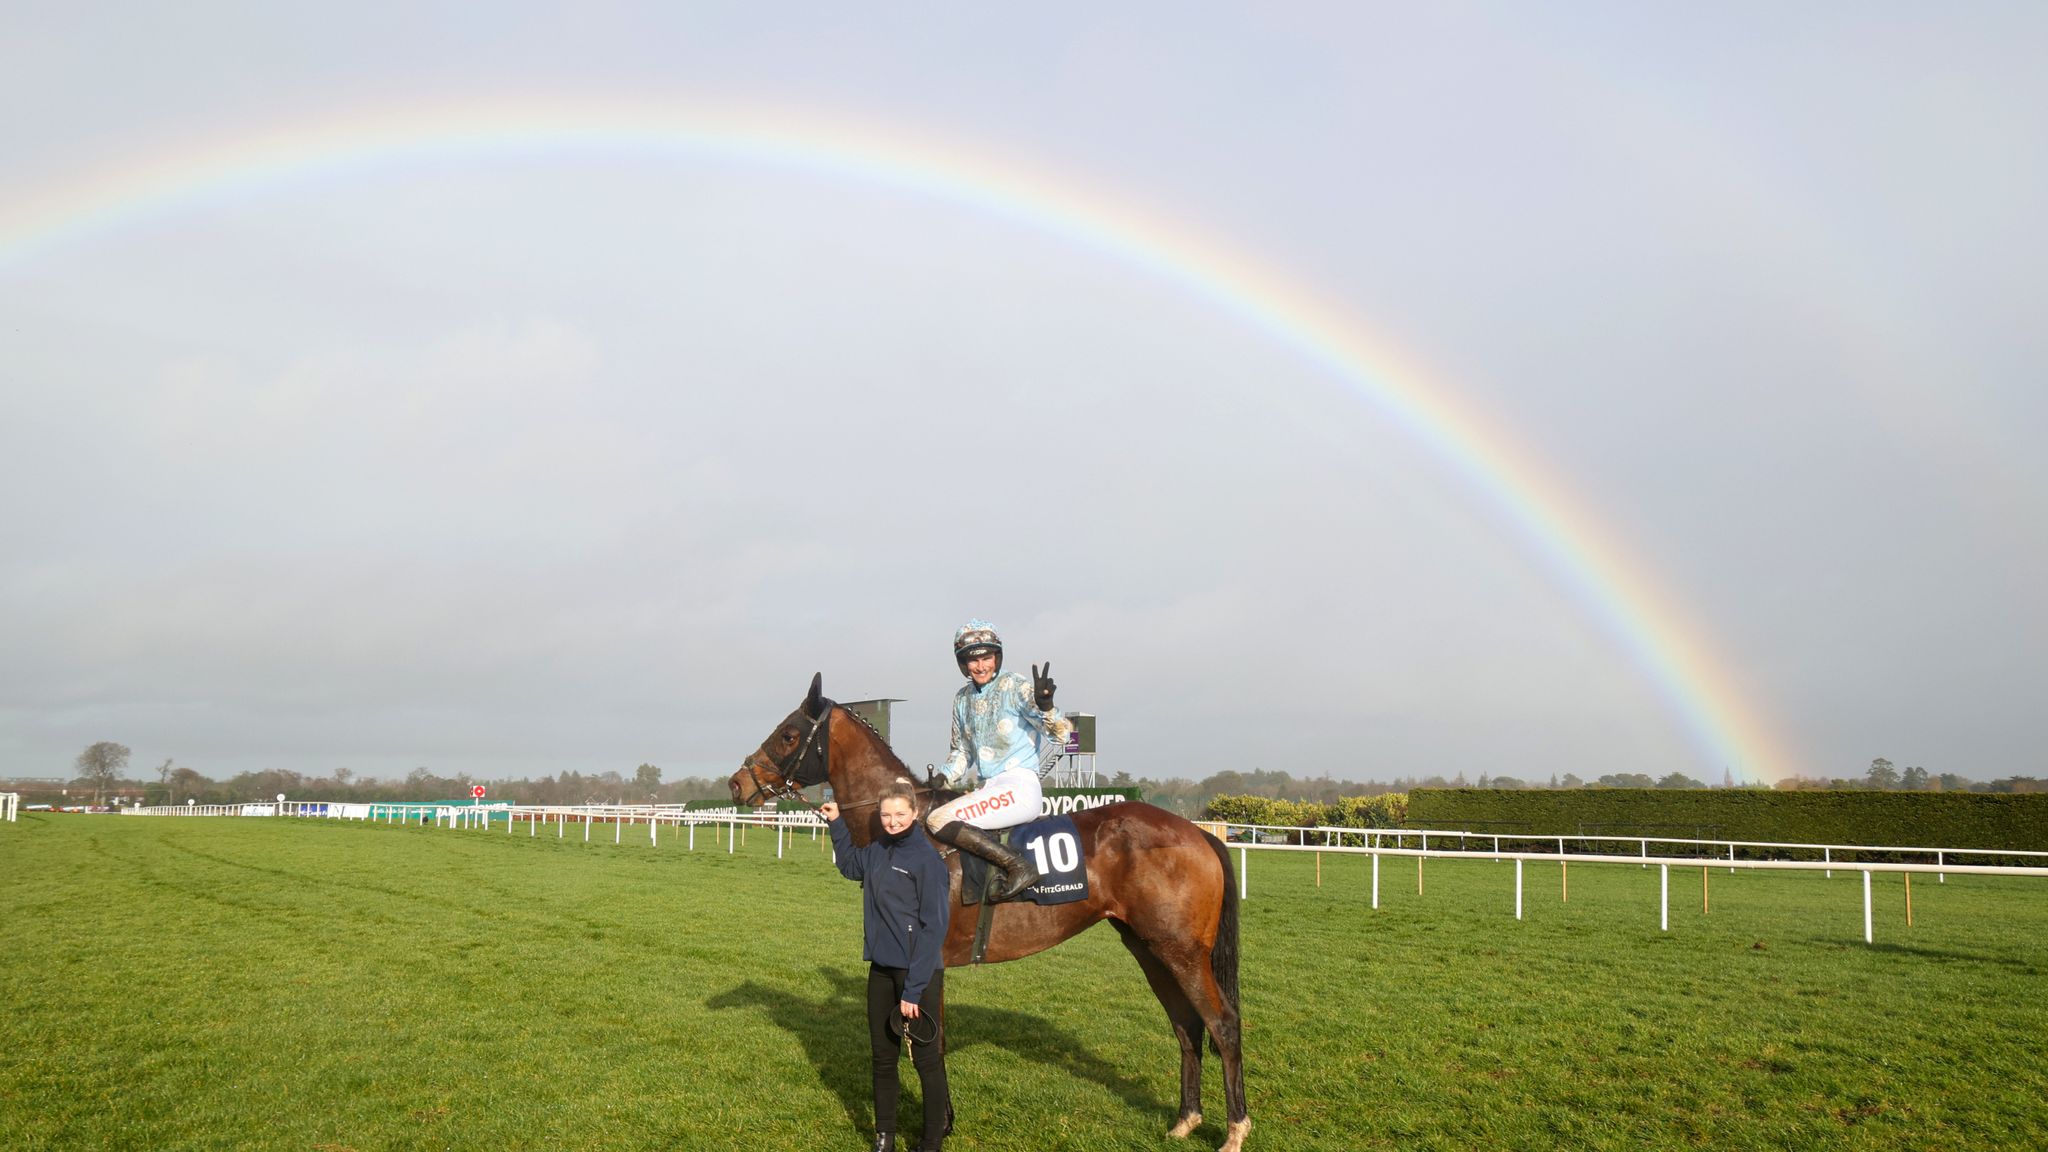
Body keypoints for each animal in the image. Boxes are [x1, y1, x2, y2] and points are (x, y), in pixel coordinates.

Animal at [737, 672, 1245, 1147]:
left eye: (788, 734)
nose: (739, 783)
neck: (906, 832)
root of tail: (1200, 834)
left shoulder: (928, 963)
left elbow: (932, 1043)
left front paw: (940, 1126)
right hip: (1149, 947)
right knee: (1186, 1025)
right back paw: (1185, 1121)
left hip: (1181, 951)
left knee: (1222, 1023)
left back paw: (1235, 1130)